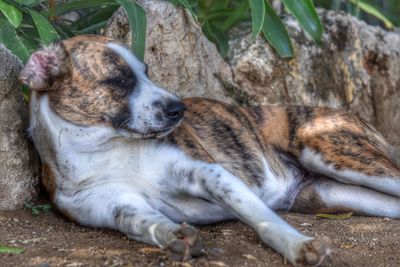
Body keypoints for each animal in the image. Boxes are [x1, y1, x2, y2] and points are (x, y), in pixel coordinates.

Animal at [19, 35, 400, 266]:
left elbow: (262, 218)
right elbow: (146, 222)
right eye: (118, 80)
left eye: (146, 73)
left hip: (342, 157)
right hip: (338, 194)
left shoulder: (207, 172)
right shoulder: (112, 206)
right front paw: (175, 237)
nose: (179, 109)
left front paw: (298, 247)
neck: (103, 151)